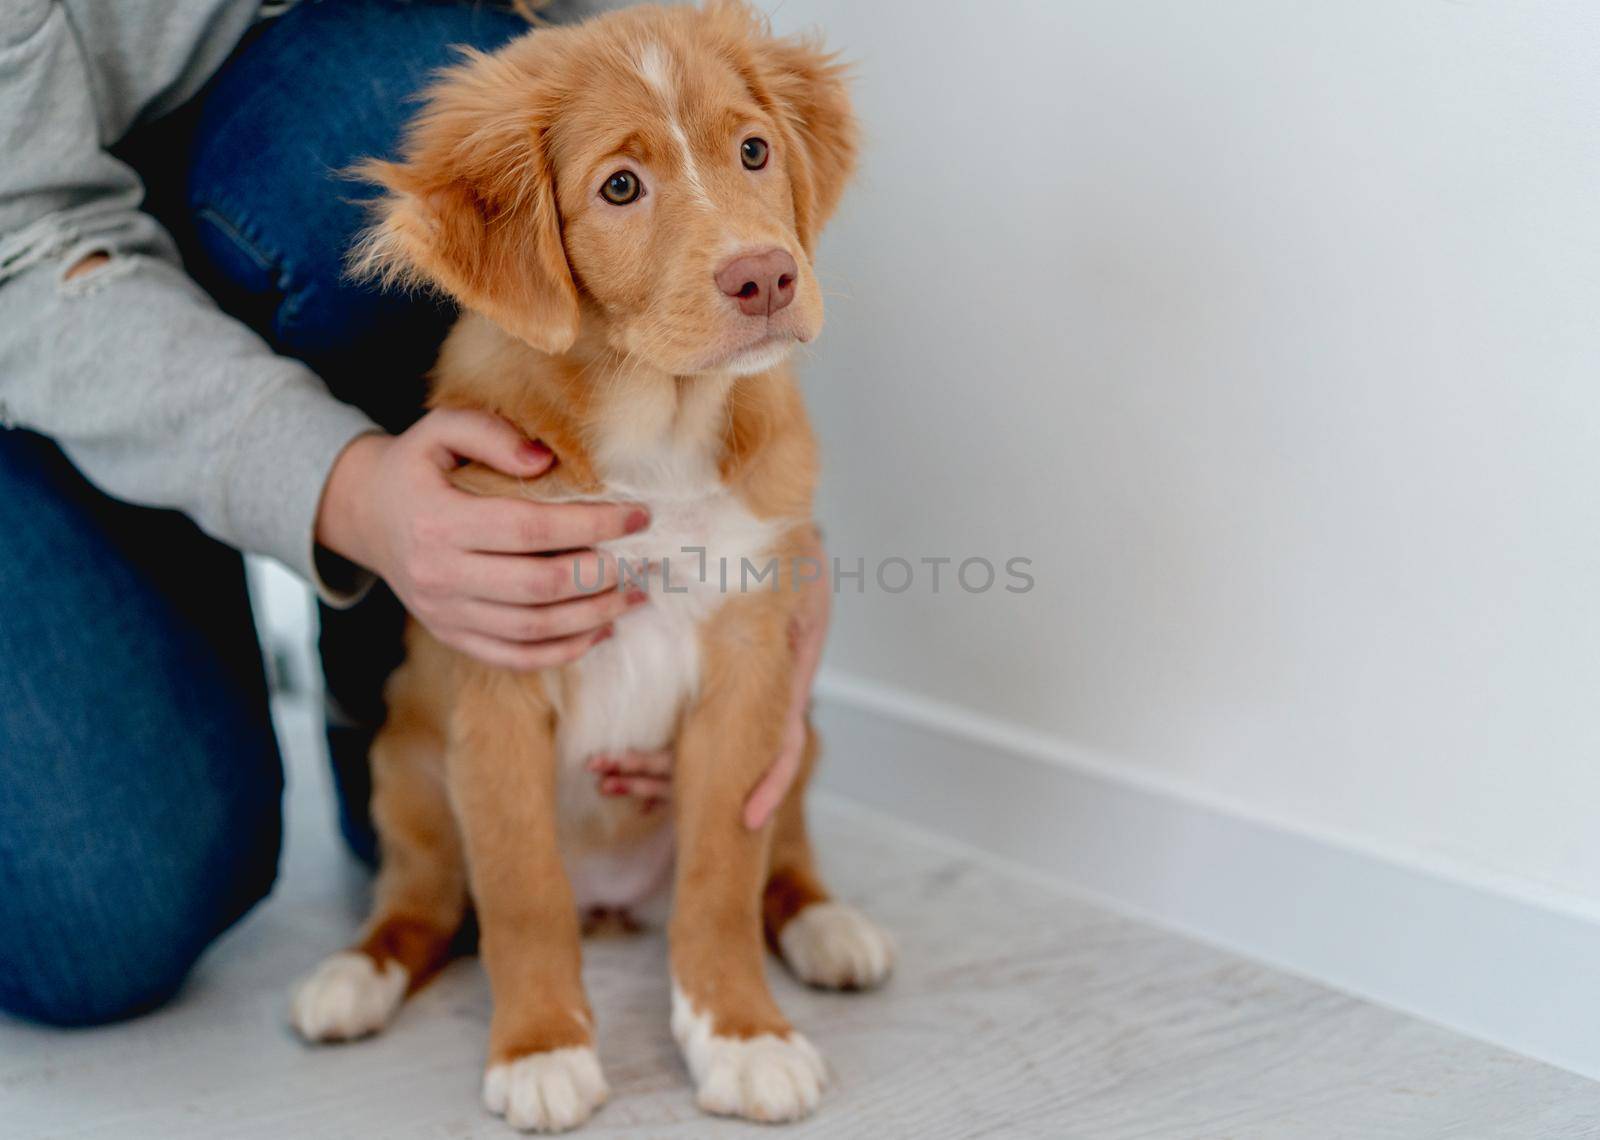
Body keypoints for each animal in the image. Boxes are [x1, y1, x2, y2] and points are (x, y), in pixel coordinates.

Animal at [288, 2, 889, 1133]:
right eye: (620, 188)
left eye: (754, 151)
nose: (767, 277)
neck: (658, 423)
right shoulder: (499, 679)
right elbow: (523, 892)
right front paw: (541, 1048)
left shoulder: (749, 668)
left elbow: (720, 883)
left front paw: (741, 1034)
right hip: (405, 770)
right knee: (425, 905)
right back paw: (352, 976)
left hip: (801, 742)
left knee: (783, 857)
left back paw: (827, 926)